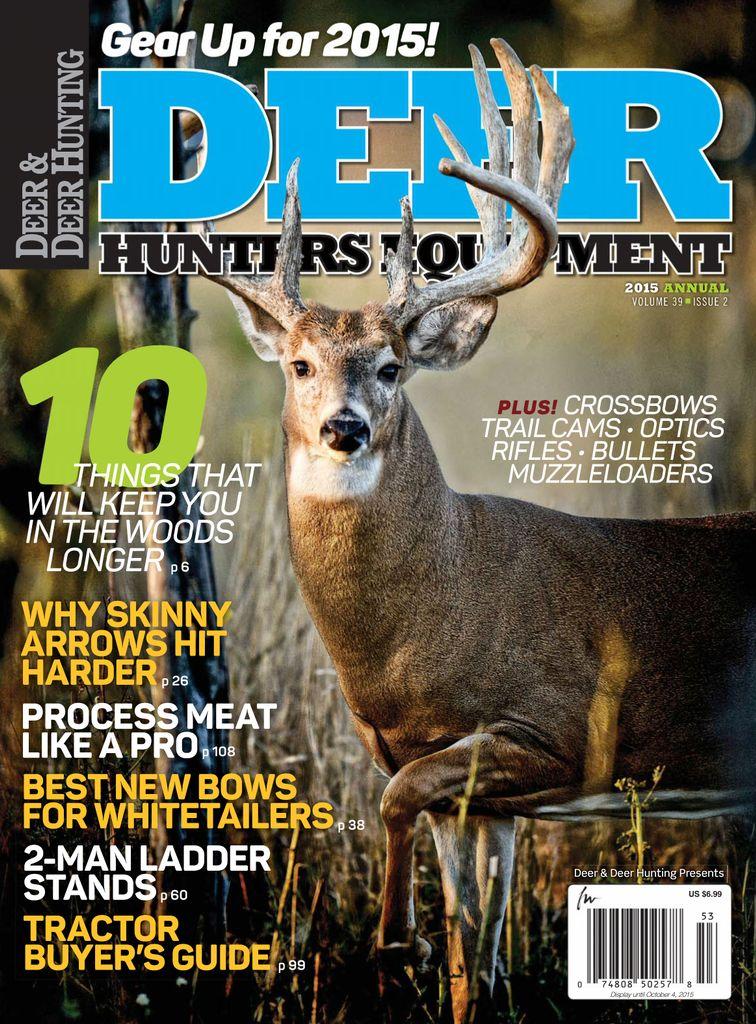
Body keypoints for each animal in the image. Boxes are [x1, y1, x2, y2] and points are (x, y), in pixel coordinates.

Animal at [202, 38, 756, 1022]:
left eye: (392, 366)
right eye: (299, 363)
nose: (343, 427)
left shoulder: (558, 730)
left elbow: (395, 799)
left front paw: (394, 940)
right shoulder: (478, 796)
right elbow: (477, 958)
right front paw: (430, 952)